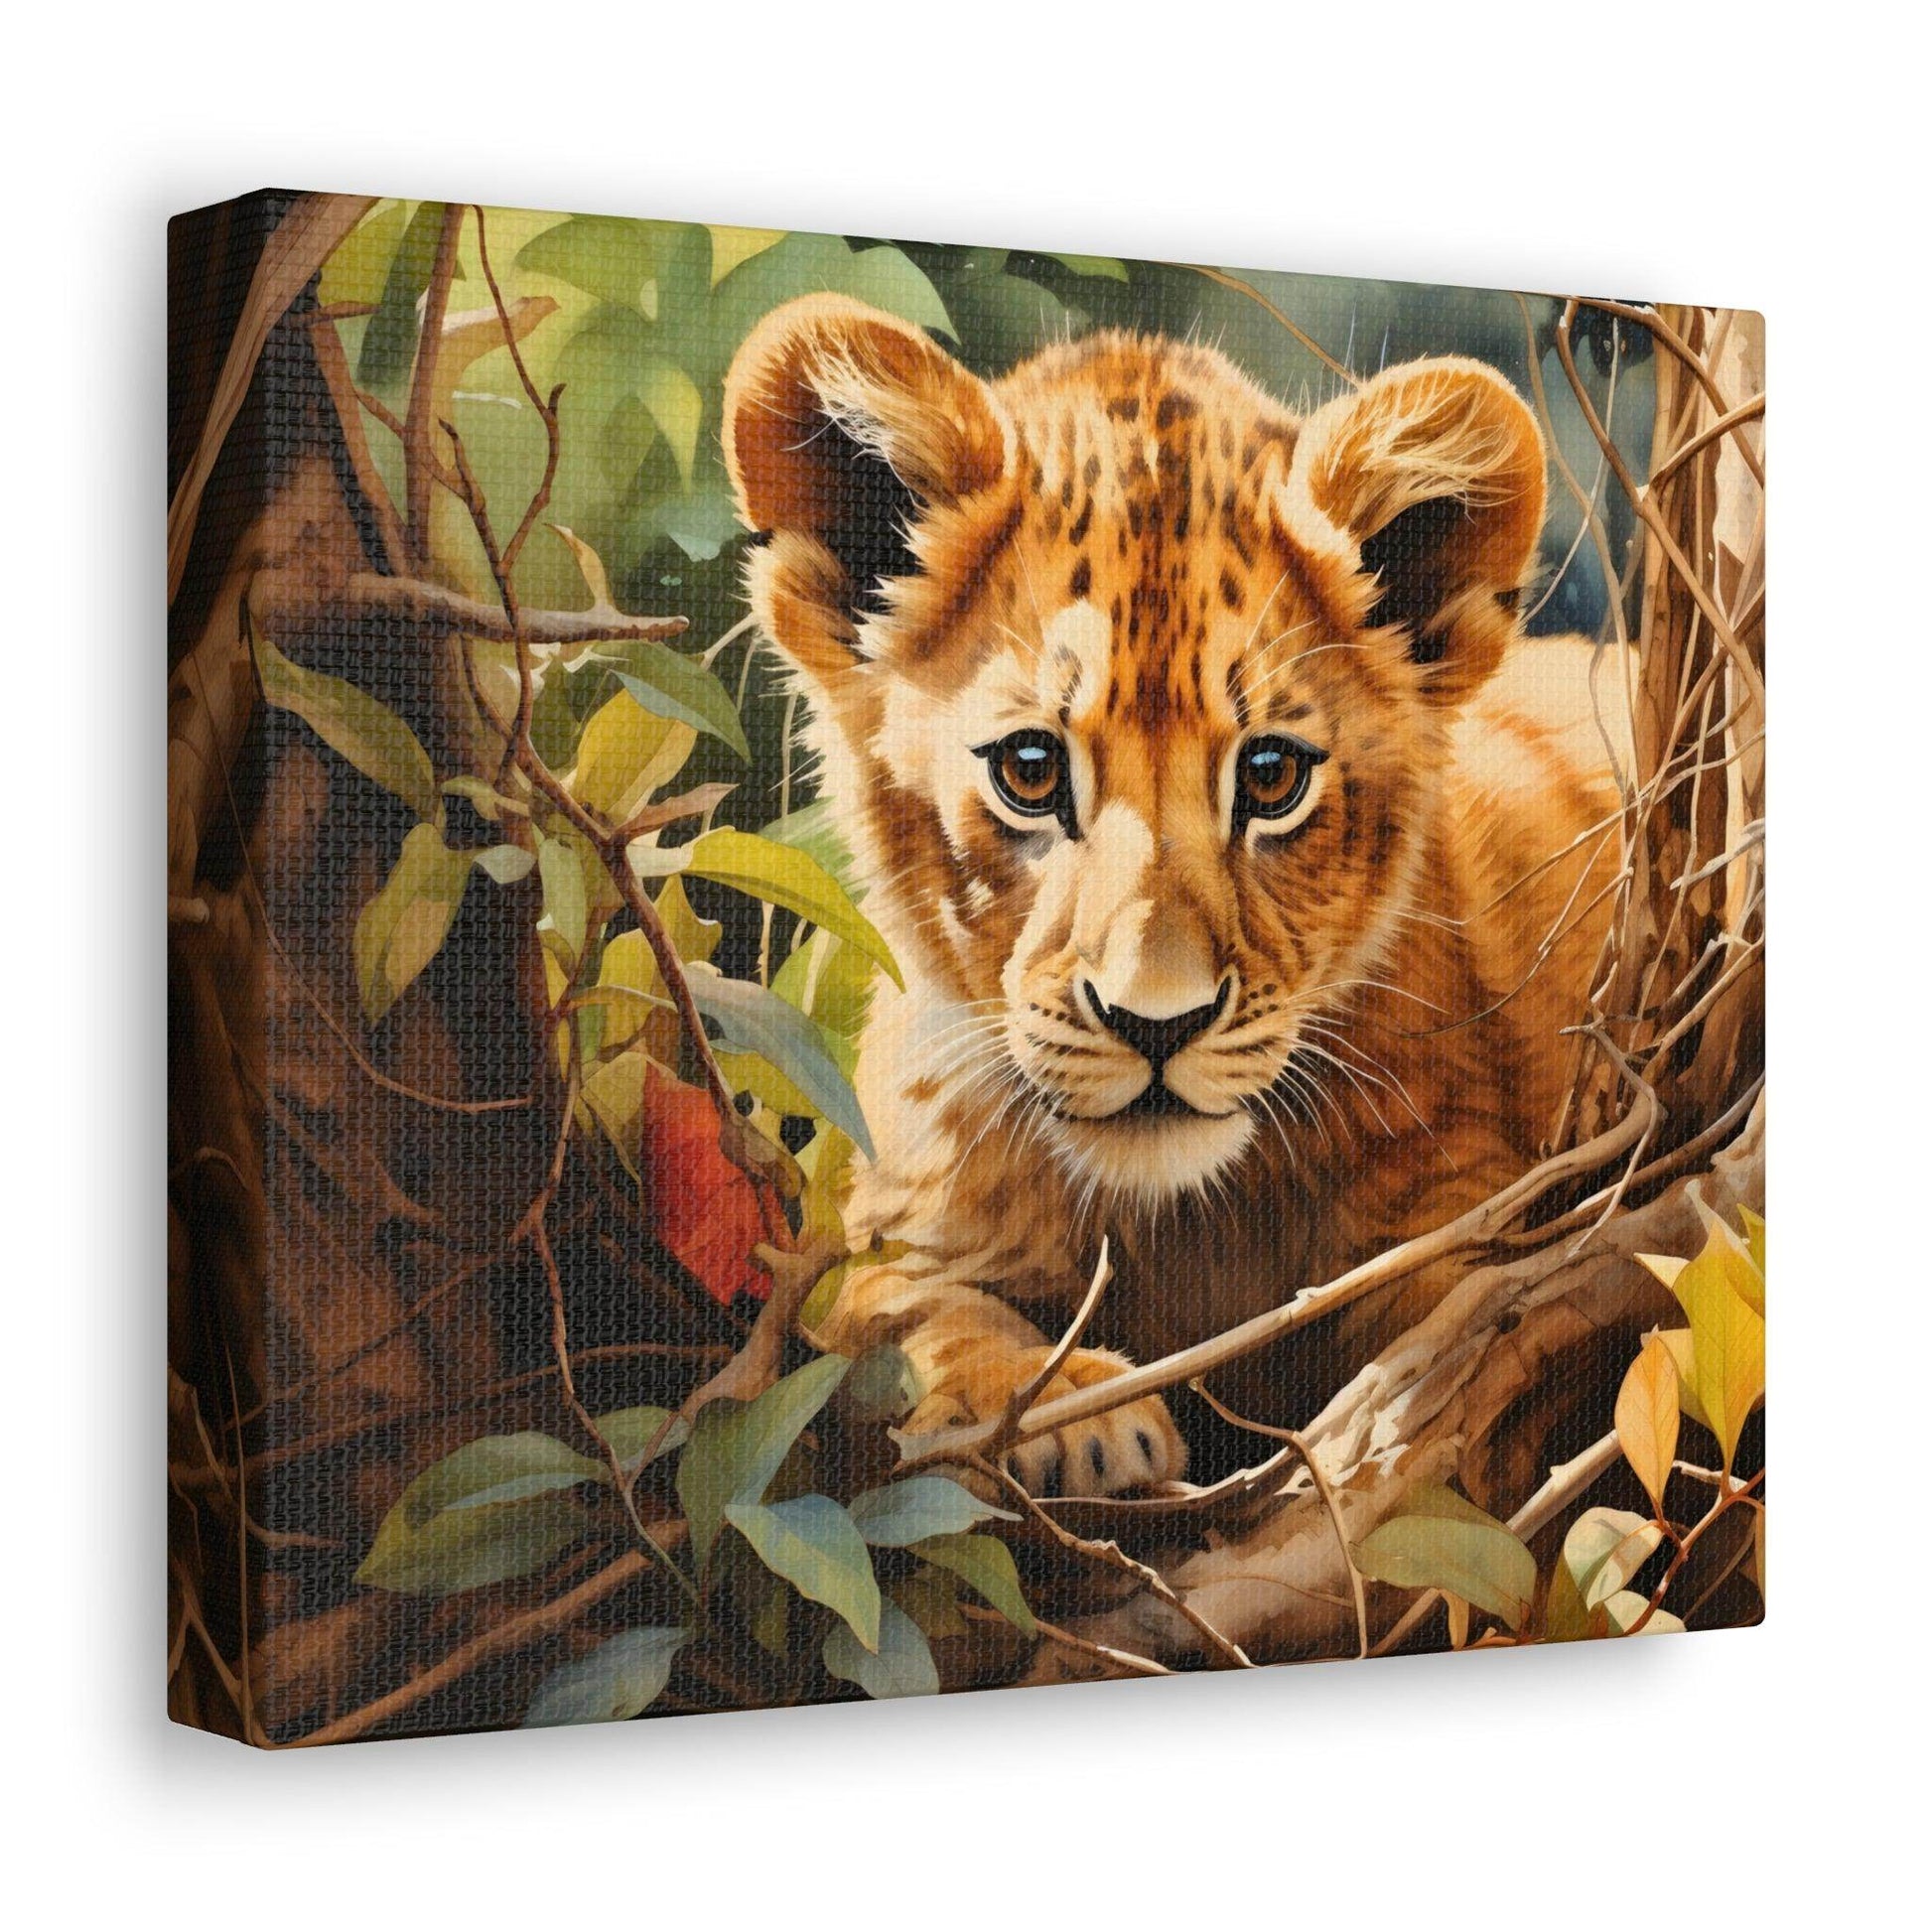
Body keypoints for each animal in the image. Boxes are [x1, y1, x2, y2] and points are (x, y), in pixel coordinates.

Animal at [723, 296, 1631, 1496]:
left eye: (1271, 775)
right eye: (1029, 768)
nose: (1158, 1022)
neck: (1179, 1227)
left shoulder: (1467, 1206)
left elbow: (1475, 1327)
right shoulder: (889, 1221)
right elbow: (891, 1305)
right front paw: (1061, 1412)